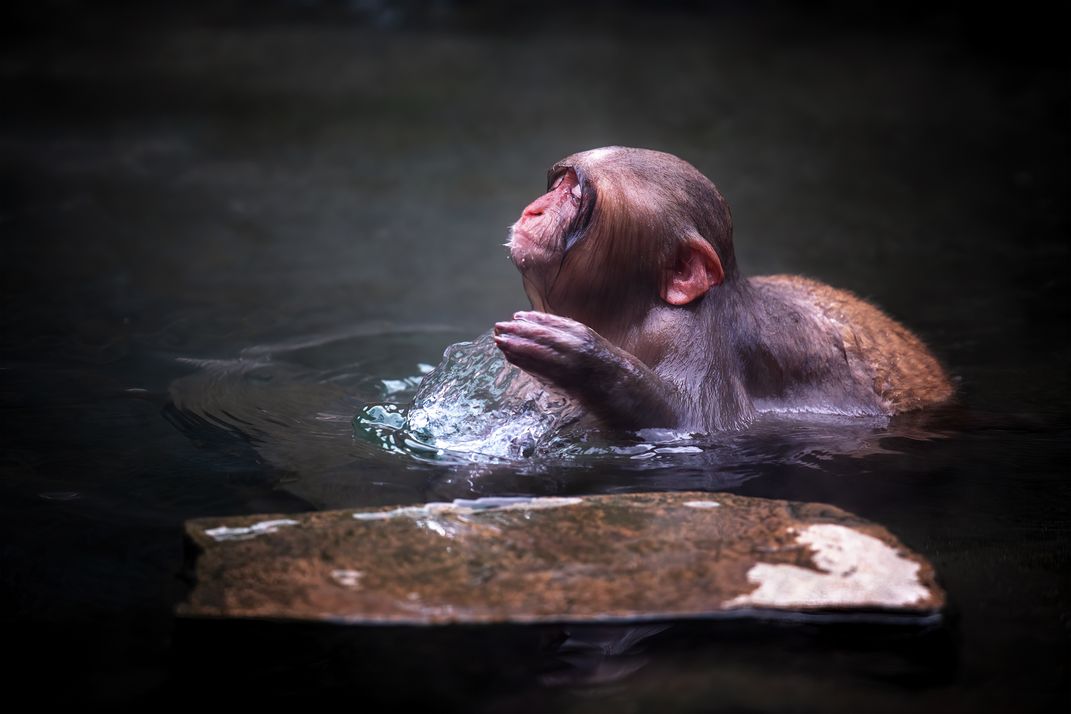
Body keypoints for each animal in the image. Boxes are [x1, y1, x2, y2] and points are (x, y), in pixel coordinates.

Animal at [492, 147, 953, 433]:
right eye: (558, 186)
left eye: (575, 197)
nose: (535, 210)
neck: (629, 319)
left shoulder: (694, 335)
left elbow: (696, 423)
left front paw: (581, 357)